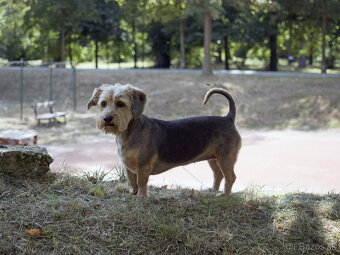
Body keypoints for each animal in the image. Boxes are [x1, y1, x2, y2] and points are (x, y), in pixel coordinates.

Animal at [87, 83, 242, 197]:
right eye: (103, 103)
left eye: (120, 104)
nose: (107, 119)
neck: (129, 132)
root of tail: (228, 118)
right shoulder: (128, 167)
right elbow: (132, 182)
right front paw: (133, 193)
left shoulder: (143, 166)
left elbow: (141, 182)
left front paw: (141, 197)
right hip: (213, 158)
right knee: (218, 175)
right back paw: (213, 190)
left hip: (225, 158)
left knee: (230, 177)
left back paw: (225, 195)